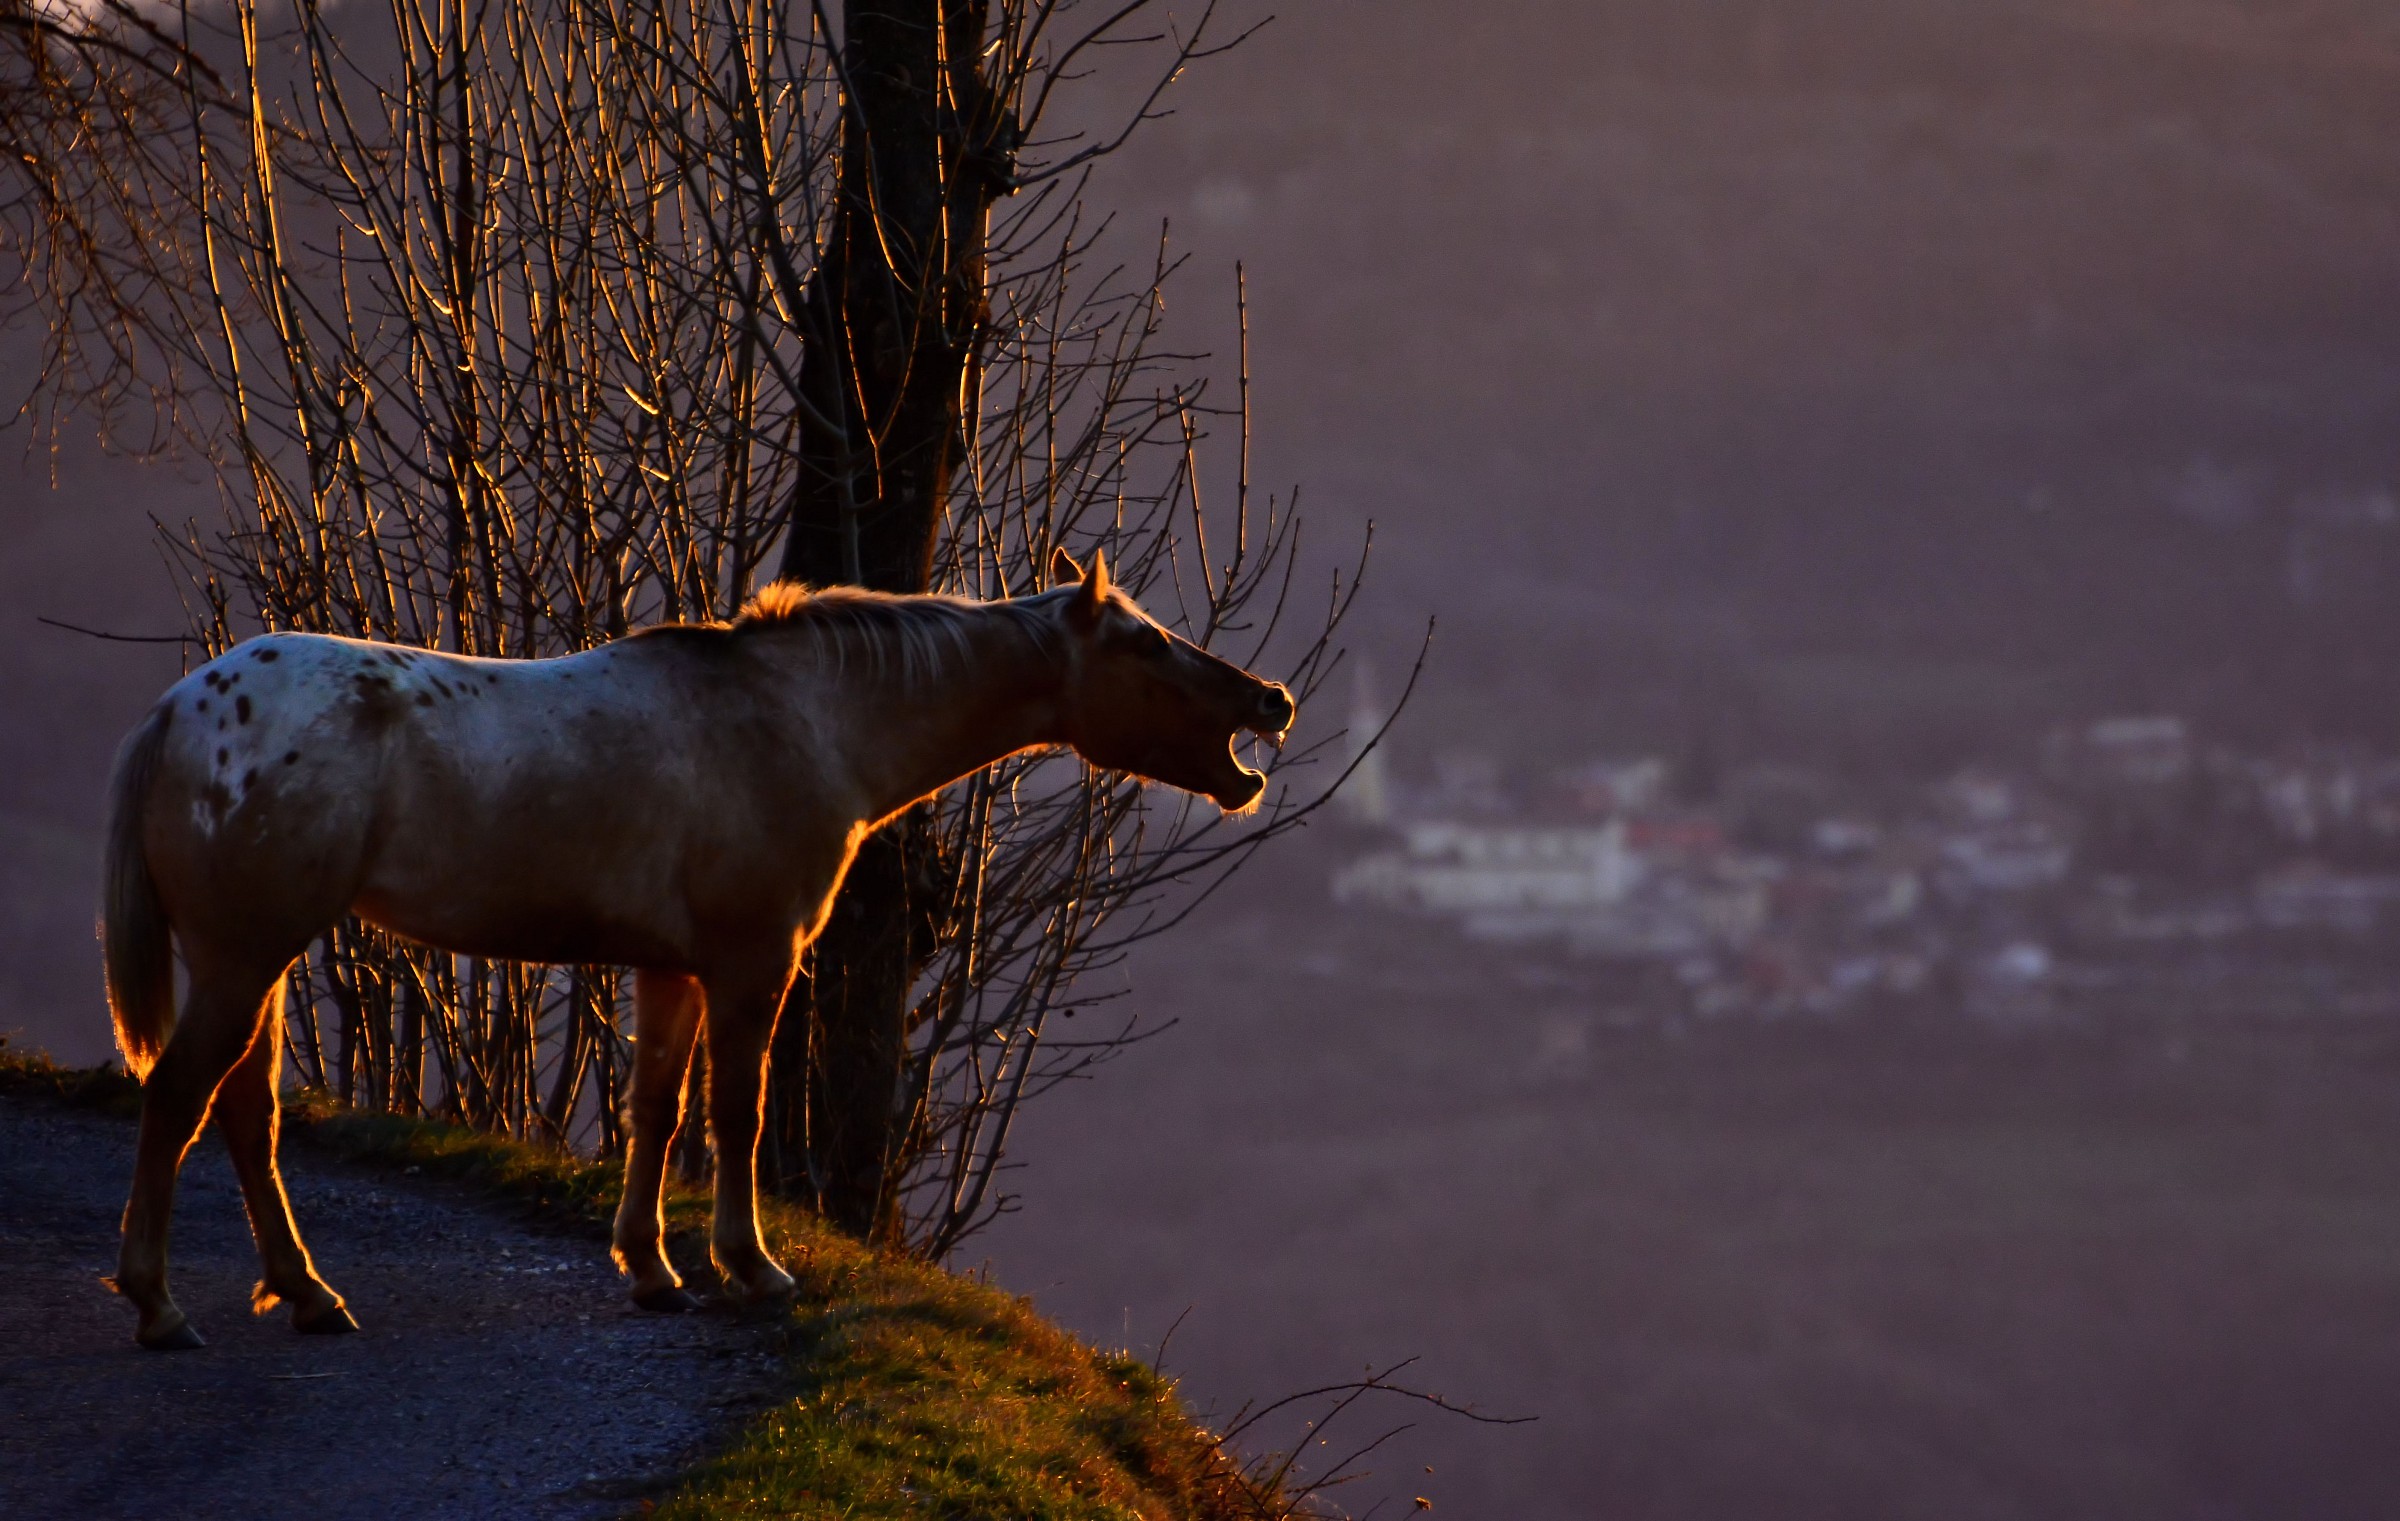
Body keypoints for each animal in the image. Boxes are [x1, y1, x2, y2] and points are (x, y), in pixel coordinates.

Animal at [100, 547, 1294, 1350]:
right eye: (1146, 643)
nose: (1269, 699)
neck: (801, 720)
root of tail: (178, 710)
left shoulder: (669, 968)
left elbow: (657, 1109)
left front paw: (652, 1267)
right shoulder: (751, 961)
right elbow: (738, 1113)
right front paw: (751, 1266)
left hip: (260, 961)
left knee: (244, 1111)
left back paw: (306, 1292)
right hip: (245, 956)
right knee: (180, 1098)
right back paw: (158, 1304)